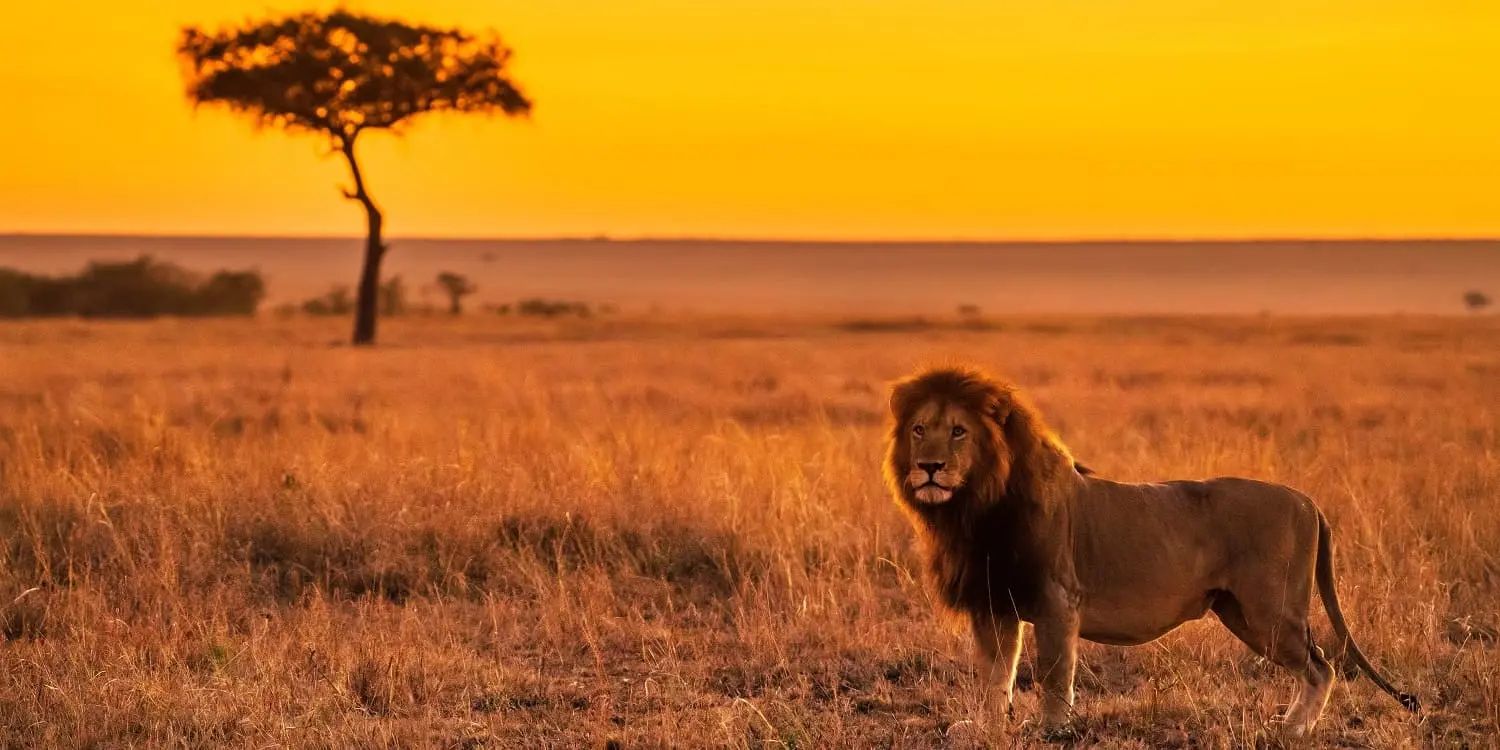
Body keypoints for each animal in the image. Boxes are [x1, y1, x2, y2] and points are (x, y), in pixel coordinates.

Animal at [883, 366, 1419, 736]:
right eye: (918, 429)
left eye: (959, 431)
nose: (928, 467)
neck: (975, 508)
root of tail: (1306, 499)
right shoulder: (994, 603)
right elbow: (995, 674)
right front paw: (988, 727)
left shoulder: (1058, 600)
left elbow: (1054, 673)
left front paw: (1055, 730)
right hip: (1240, 613)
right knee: (1315, 664)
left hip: (1270, 609)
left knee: (1320, 666)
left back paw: (1292, 730)